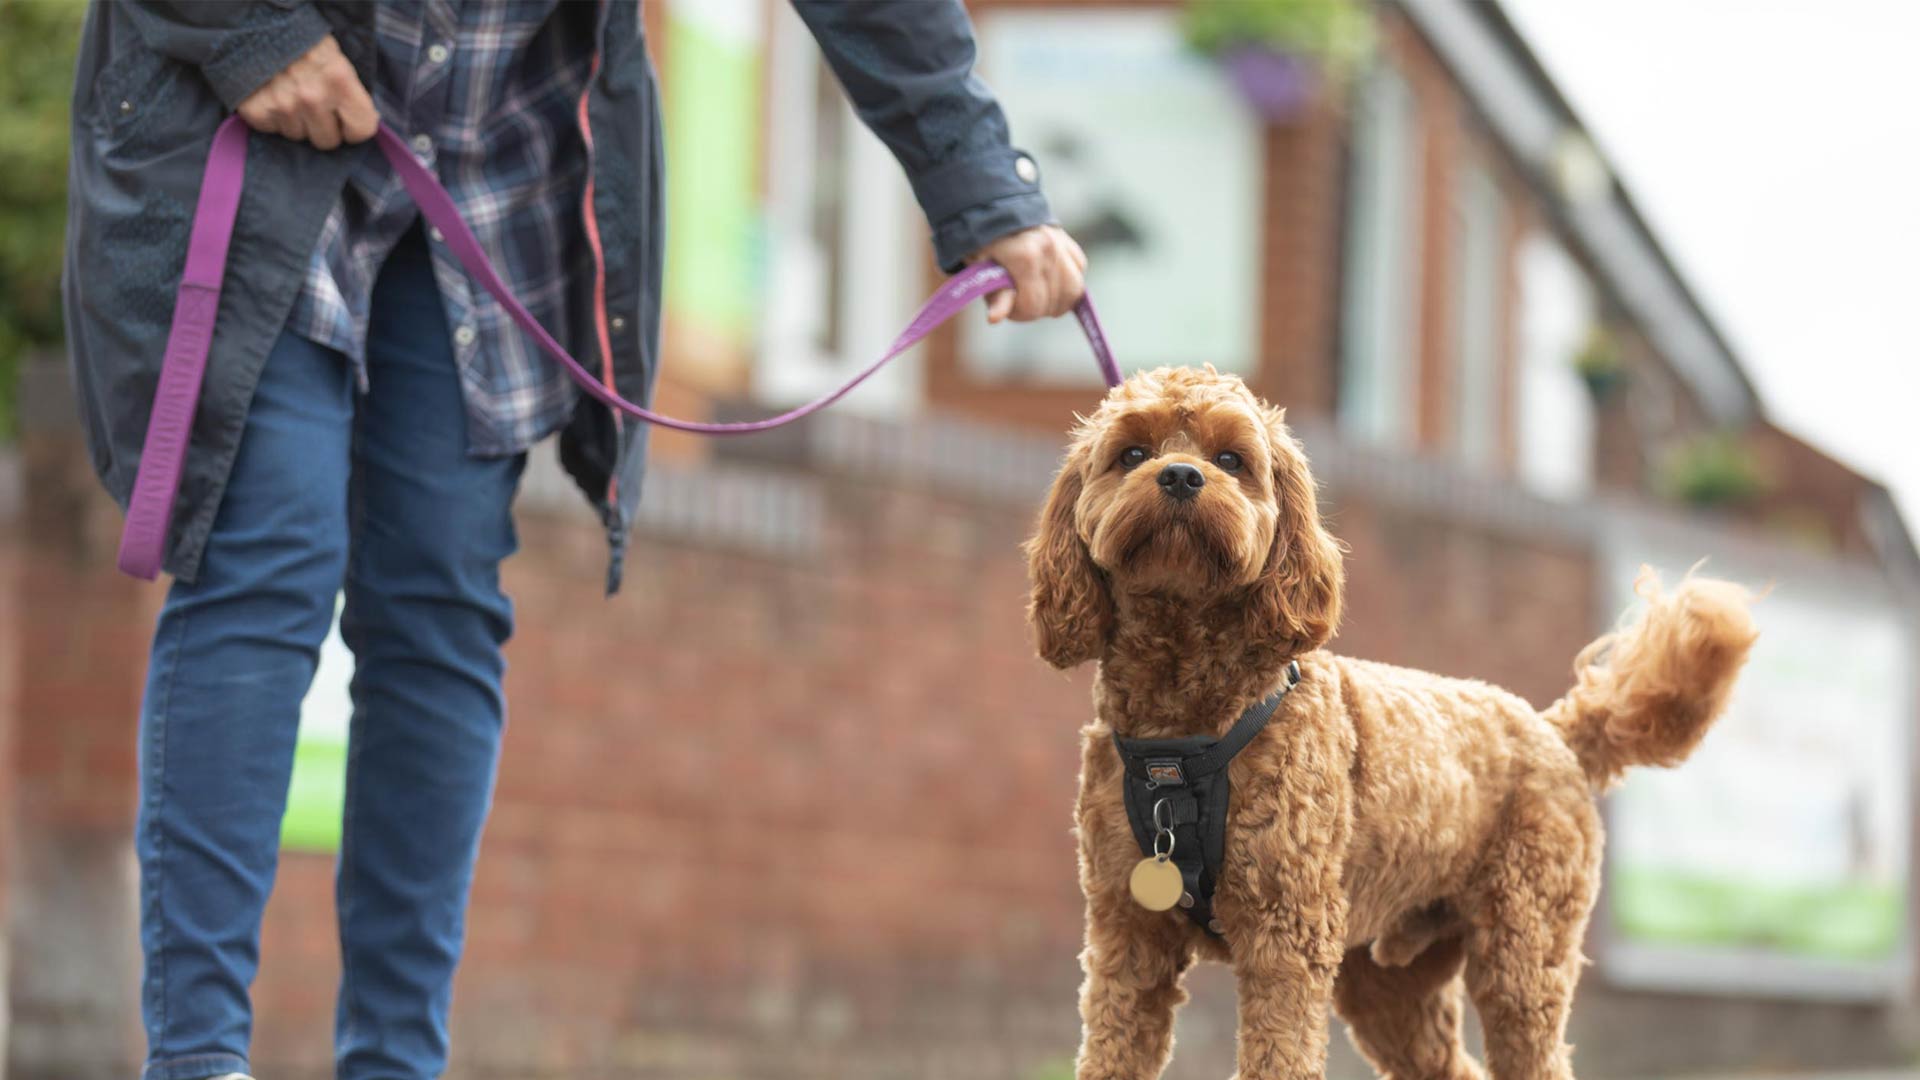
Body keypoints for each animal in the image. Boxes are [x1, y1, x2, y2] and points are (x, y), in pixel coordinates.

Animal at [1029, 365, 1758, 1068]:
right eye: (1131, 453)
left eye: (1232, 459)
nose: (1181, 475)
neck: (1182, 735)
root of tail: (1553, 730)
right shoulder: (1127, 937)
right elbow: (1112, 1051)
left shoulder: (1286, 934)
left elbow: (1280, 1055)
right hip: (1390, 981)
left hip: (1524, 954)